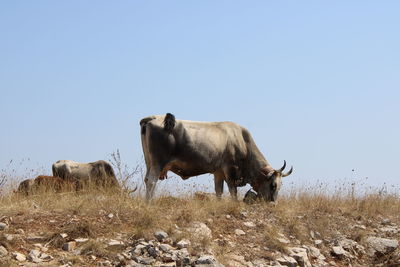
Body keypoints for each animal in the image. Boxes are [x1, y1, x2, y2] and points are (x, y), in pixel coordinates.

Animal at [139, 113, 292, 203]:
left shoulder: (218, 172)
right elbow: (232, 191)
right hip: (158, 163)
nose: (273, 203)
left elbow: (219, 191)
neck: (243, 141)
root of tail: (153, 117)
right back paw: (149, 203)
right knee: (151, 182)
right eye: (273, 185)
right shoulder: (230, 170)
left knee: (147, 180)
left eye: (280, 186)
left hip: (149, 162)